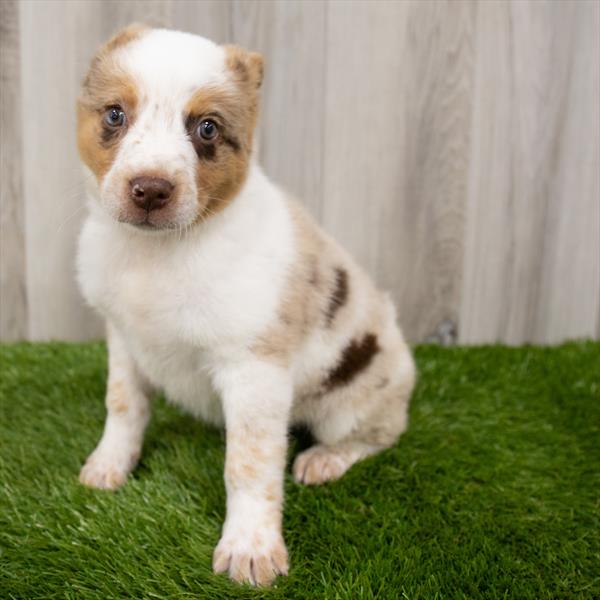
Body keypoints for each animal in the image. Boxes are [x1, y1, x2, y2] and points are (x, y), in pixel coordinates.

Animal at [76, 27, 418, 584]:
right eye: (114, 115)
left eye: (207, 128)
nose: (150, 190)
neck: (158, 252)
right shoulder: (124, 339)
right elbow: (124, 406)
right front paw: (109, 465)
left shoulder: (254, 371)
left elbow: (249, 464)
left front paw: (250, 548)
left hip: (355, 399)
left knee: (381, 434)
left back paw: (325, 459)